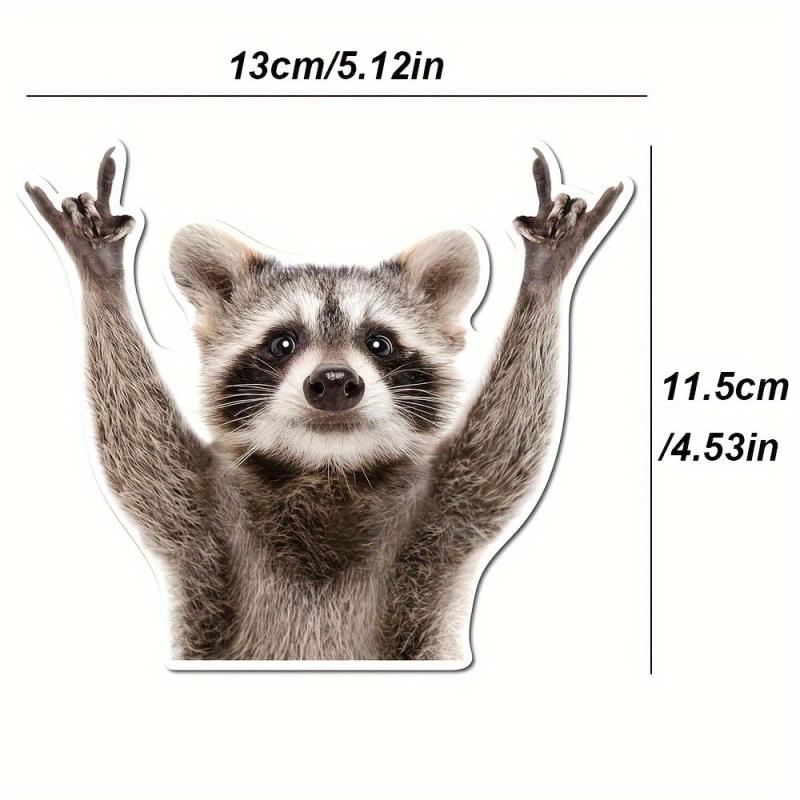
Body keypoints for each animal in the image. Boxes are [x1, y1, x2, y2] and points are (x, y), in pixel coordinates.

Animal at [25, 146, 625, 661]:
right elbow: (138, 449)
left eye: (379, 343)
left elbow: (504, 449)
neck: (326, 469)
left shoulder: (440, 518)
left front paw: (543, 278)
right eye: (282, 343)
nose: (335, 382)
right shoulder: (202, 520)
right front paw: (102, 277)